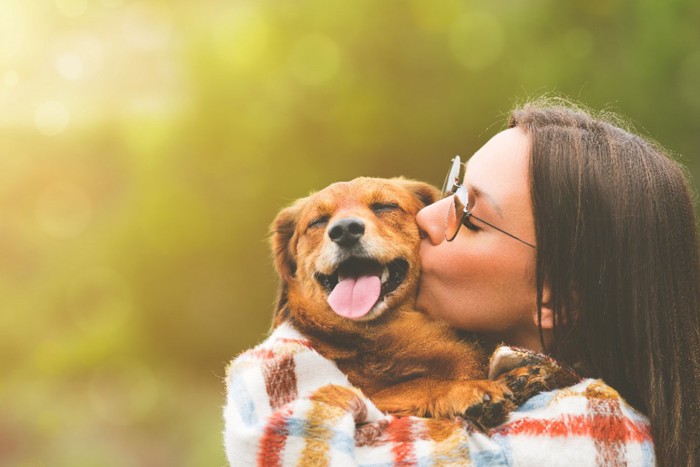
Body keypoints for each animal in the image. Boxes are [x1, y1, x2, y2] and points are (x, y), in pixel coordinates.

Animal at [270, 177, 560, 426]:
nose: (344, 231)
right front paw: (467, 388)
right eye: (318, 222)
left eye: (385, 206)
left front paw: (518, 377)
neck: (388, 331)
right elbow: (416, 384)